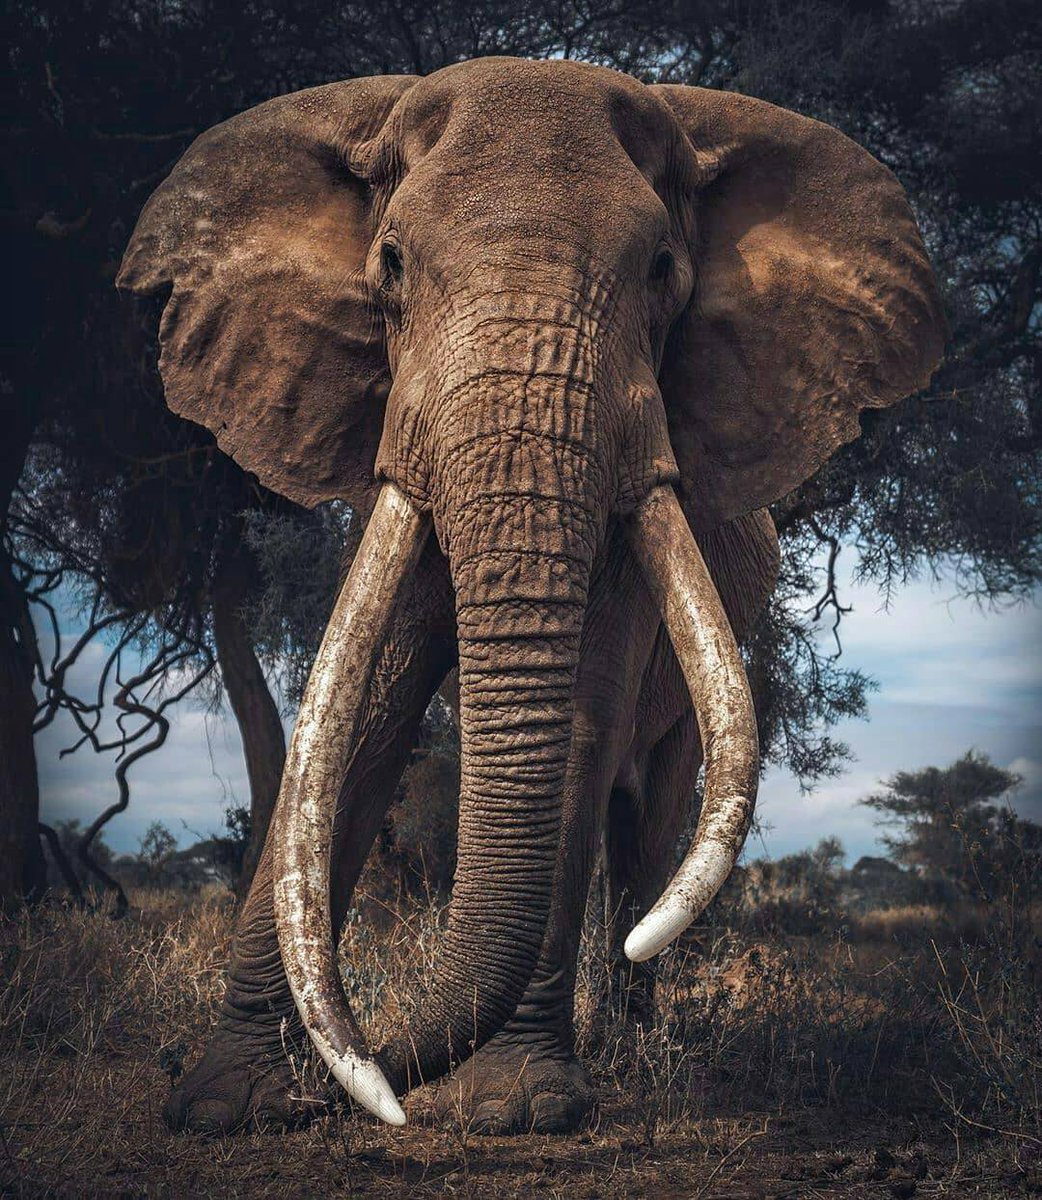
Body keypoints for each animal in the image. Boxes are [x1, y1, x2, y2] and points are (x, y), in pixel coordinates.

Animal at [117, 56, 944, 1135]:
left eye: (661, 271)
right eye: (390, 265)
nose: (374, 1082)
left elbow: (587, 708)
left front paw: (510, 1107)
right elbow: (363, 708)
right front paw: (230, 1101)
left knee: (648, 819)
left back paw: (630, 1041)